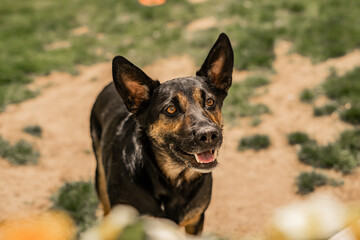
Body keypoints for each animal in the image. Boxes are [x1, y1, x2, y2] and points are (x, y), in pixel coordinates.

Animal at [90, 32, 233, 234]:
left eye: (210, 102)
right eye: (171, 109)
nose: (209, 136)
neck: (174, 181)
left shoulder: (196, 221)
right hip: (100, 178)